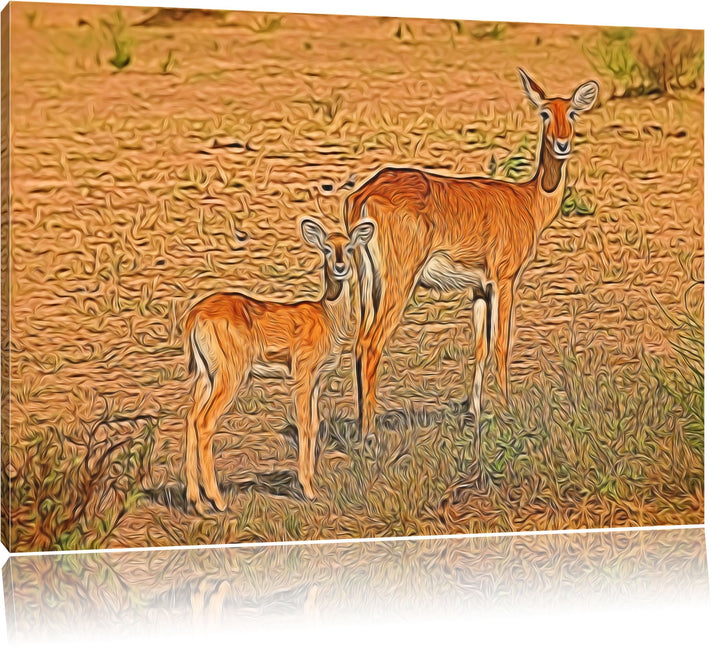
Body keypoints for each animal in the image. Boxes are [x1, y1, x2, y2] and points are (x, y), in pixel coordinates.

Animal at [184, 217, 376, 511]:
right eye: (327, 248)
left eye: (349, 247)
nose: (340, 267)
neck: (327, 317)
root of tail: (194, 315)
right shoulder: (302, 374)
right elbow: (303, 423)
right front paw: (308, 490)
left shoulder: (318, 379)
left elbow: (315, 424)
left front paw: (313, 484)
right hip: (230, 374)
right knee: (205, 421)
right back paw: (218, 500)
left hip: (205, 375)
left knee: (191, 417)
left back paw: (196, 500)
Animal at [345, 69, 599, 437]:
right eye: (544, 113)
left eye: (573, 113)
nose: (562, 144)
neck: (529, 201)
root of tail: (364, 195)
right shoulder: (504, 281)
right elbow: (502, 344)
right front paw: (508, 411)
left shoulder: (478, 288)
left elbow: (480, 347)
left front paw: (475, 412)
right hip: (399, 282)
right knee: (371, 343)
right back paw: (370, 432)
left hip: (368, 284)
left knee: (358, 342)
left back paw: (361, 424)